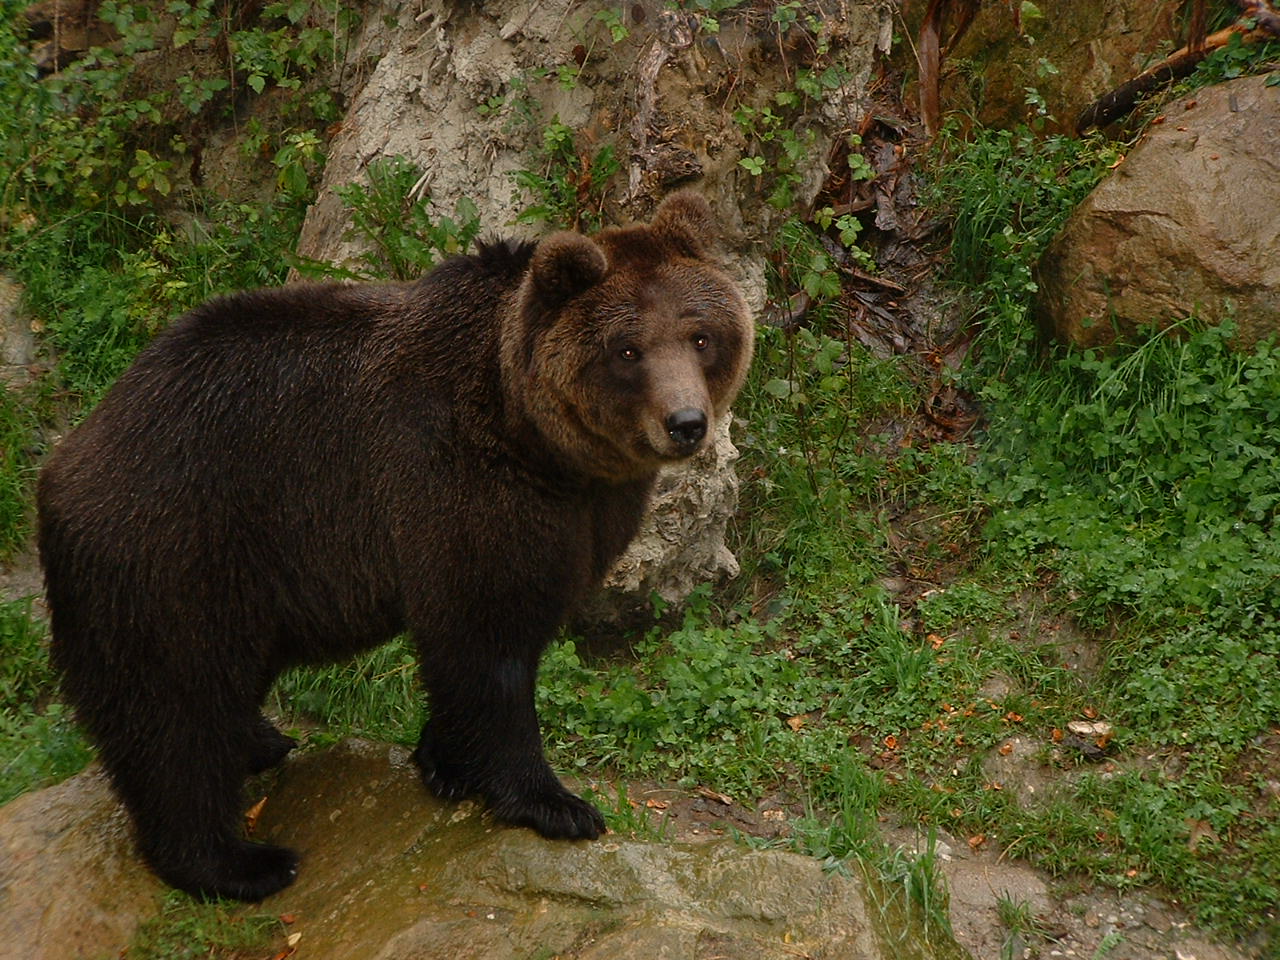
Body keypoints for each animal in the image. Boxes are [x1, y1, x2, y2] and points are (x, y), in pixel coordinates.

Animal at [40, 193, 752, 901]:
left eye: (701, 337)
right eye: (628, 350)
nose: (686, 424)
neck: (540, 442)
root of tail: (65, 463)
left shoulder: (584, 514)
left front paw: (444, 760)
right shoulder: (458, 487)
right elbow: (487, 645)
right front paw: (555, 803)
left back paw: (260, 741)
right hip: (177, 551)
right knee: (175, 715)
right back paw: (241, 862)